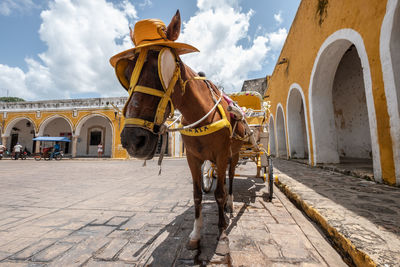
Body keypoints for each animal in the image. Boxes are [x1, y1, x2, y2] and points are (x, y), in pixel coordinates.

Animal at [111, 10, 245, 252]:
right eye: (127, 73)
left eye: (161, 67)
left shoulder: (222, 154)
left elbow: (219, 194)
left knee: (229, 178)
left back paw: (230, 205)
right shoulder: (192, 157)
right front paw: (195, 234)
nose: (133, 139)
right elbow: (197, 195)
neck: (201, 115)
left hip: (235, 152)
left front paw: (222, 234)